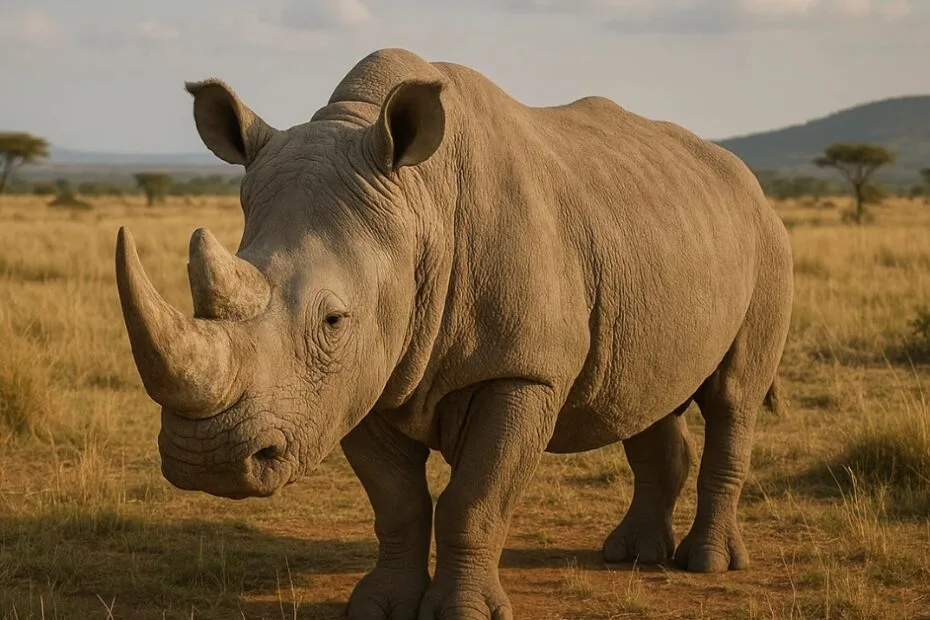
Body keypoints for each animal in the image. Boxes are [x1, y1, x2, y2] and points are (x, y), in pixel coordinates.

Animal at [115, 48, 793, 619]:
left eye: (333, 321)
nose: (208, 463)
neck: (421, 210)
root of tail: (746, 178)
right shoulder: (362, 379)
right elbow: (397, 504)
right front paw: (381, 608)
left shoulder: (521, 370)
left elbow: (475, 497)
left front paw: (463, 613)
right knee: (645, 400)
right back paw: (631, 555)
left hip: (766, 234)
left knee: (733, 397)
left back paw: (705, 564)